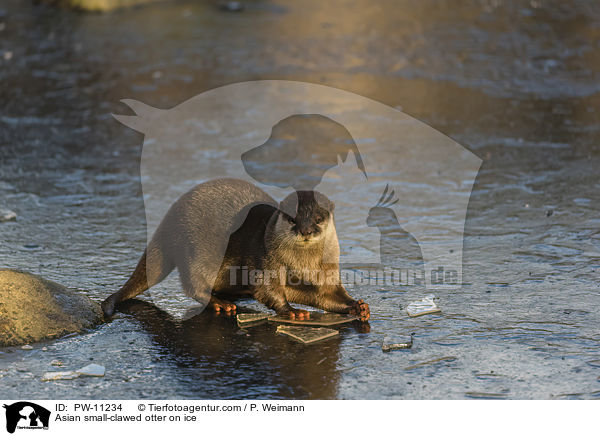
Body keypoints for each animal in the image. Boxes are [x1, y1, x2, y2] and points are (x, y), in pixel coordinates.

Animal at [101, 179, 368, 322]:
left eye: (319, 218)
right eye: (292, 219)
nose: (305, 230)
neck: (303, 265)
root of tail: (170, 217)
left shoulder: (327, 271)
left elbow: (327, 295)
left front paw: (357, 306)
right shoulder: (266, 260)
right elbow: (267, 289)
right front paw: (291, 311)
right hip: (196, 249)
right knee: (193, 284)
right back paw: (220, 303)